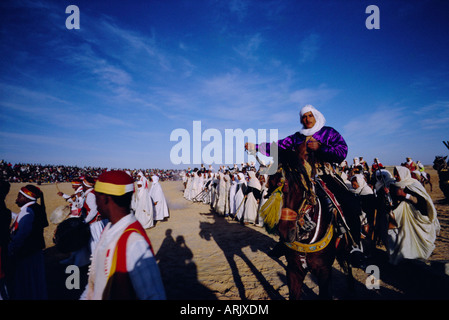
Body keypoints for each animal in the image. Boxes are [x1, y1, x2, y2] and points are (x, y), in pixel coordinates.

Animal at [260, 144, 354, 298]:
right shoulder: (293, 270)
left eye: (301, 187)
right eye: (272, 185)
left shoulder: (324, 272)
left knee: (349, 264)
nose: (286, 233)